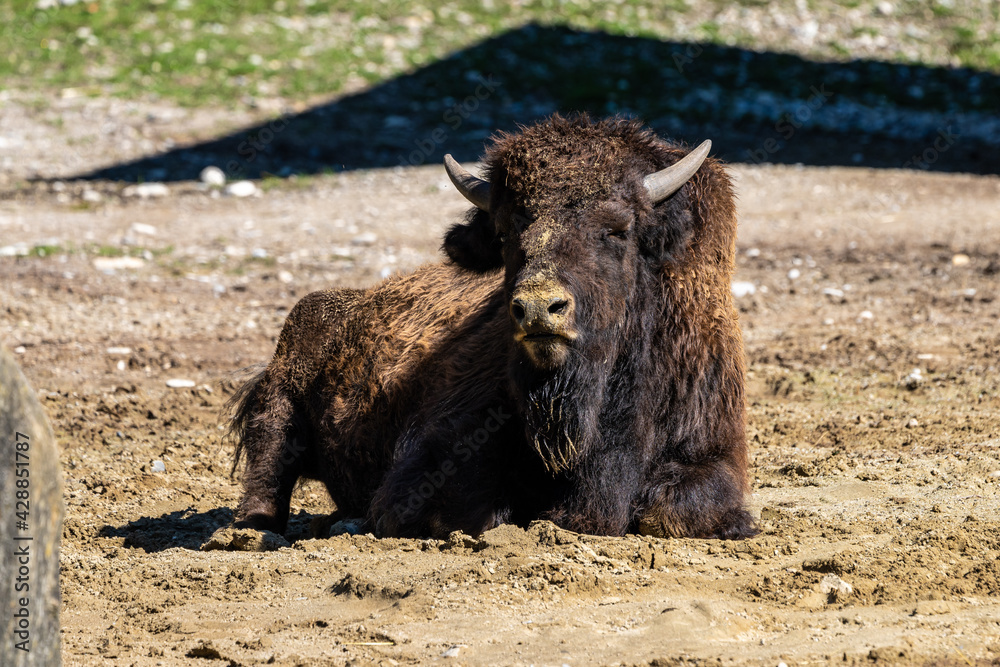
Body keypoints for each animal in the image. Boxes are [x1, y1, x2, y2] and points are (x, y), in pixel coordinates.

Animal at [228, 114, 756, 540]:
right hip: (281, 394)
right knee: (269, 468)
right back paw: (253, 533)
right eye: (504, 233)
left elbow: (668, 511)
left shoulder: (713, 451)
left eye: (617, 229)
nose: (538, 308)